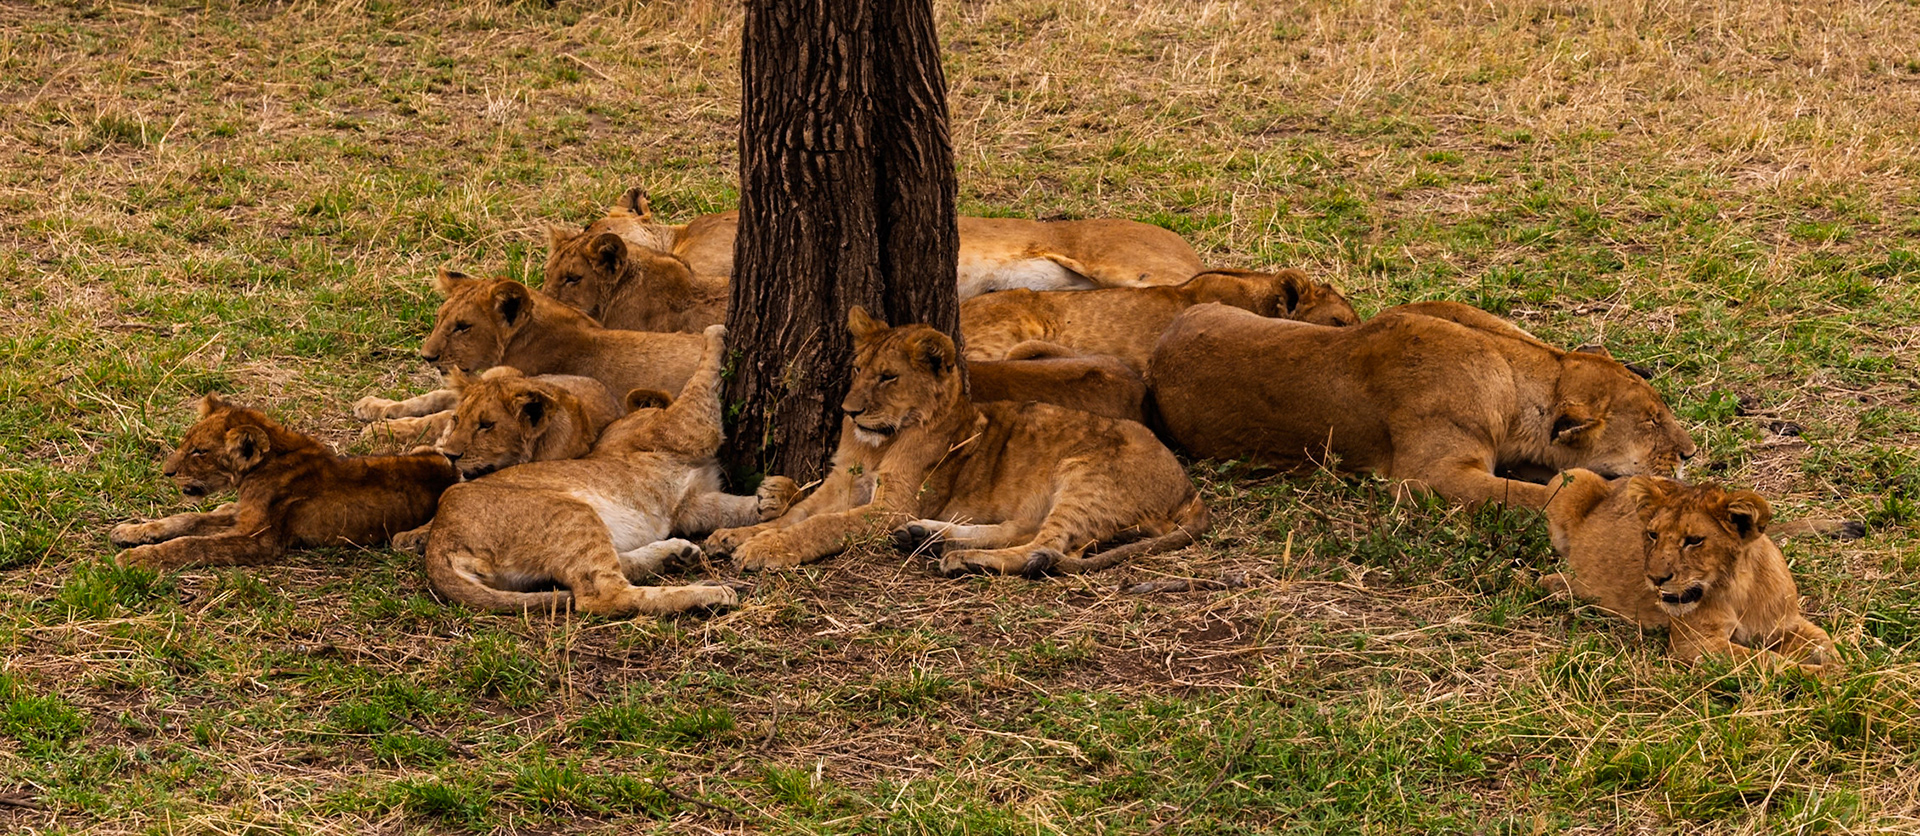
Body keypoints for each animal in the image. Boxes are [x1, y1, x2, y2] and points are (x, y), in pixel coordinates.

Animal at [110, 395, 458, 570]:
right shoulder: (242, 513)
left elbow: (192, 544)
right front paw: (130, 531)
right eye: (186, 443)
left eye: (200, 452)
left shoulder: (260, 540)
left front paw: (137, 557)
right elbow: (186, 519)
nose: (166, 472)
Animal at [422, 325, 799, 615]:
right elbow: (702, 379)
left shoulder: (690, 505)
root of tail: (438, 539)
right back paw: (709, 592)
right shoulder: (684, 426)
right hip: (570, 513)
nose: (451, 454)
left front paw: (774, 495)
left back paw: (675, 555)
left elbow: (731, 509)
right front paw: (715, 333)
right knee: (602, 596)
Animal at [704, 307, 1208, 577]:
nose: (849, 411)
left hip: (1084, 478)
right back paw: (928, 538)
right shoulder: (841, 485)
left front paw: (764, 550)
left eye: (888, 377)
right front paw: (736, 535)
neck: (878, 443)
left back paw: (963, 558)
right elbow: (796, 514)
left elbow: (820, 526)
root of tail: (1188, 487)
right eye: (857, 369)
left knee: (1048, 547)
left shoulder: (891, 507)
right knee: (1022, 531)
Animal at [1540, 468, 1841, 674]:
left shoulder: (1785, 625)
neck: (1739, 590)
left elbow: (1826, 642)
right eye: (1652, 534)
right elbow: (1765, 661)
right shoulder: (1697, 644)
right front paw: (1823, 677)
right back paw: (1560, 586)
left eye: (1694, 540)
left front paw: (1841, 664)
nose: (1655, 578)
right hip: (1571, 478)